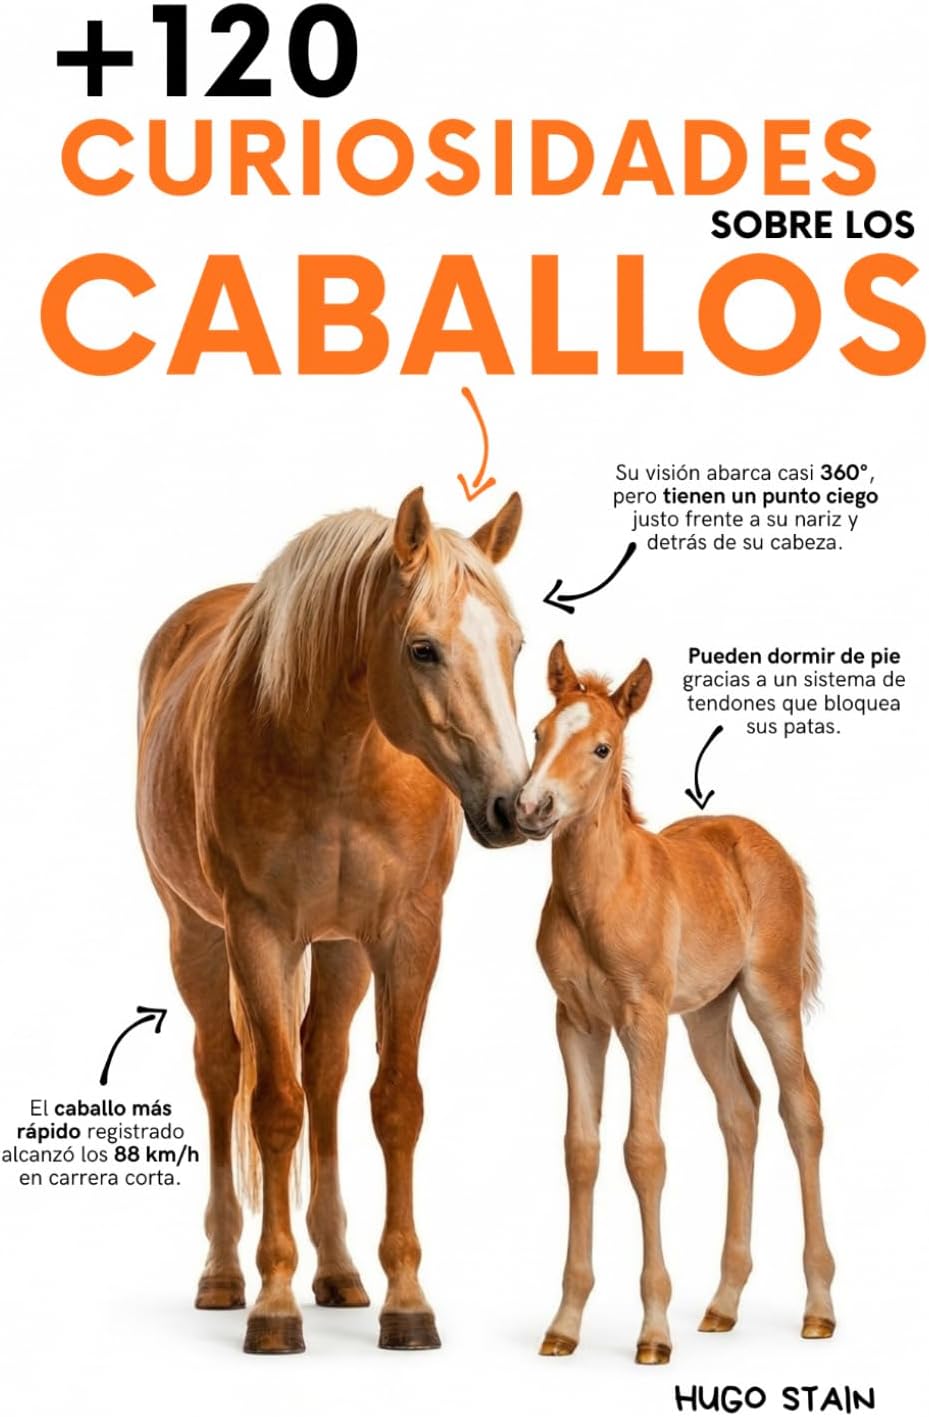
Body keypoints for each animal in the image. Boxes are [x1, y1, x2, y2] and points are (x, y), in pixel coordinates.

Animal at [136, 487, 528, 1355]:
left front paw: (406, 1301)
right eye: (423, 649)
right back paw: (225, 1273)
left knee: (324, 1067)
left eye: (515, 647)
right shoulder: (258, 933)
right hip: (197, 935)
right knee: (223, 1070)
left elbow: (394, 1102)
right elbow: (272, 1107)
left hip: (342, 950)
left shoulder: (407, 934)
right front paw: (274, 1304)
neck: (340, 752)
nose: (513, 805)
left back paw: (342, 1270)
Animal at [515, 641, 835, 1365]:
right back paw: (722, 1303)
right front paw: (564, 1323)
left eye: (602, 746)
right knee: (740, 1109)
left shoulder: (643, 1020)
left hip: (769, 995)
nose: (533, 806)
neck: (599, 895)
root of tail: (773, 847)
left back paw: (818, 1308)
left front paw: (654, 1331)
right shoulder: (575, 1022)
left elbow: (644, 1151)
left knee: (800, 1106)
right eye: (538, 732)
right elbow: (581, 1150)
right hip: (707, 1013)